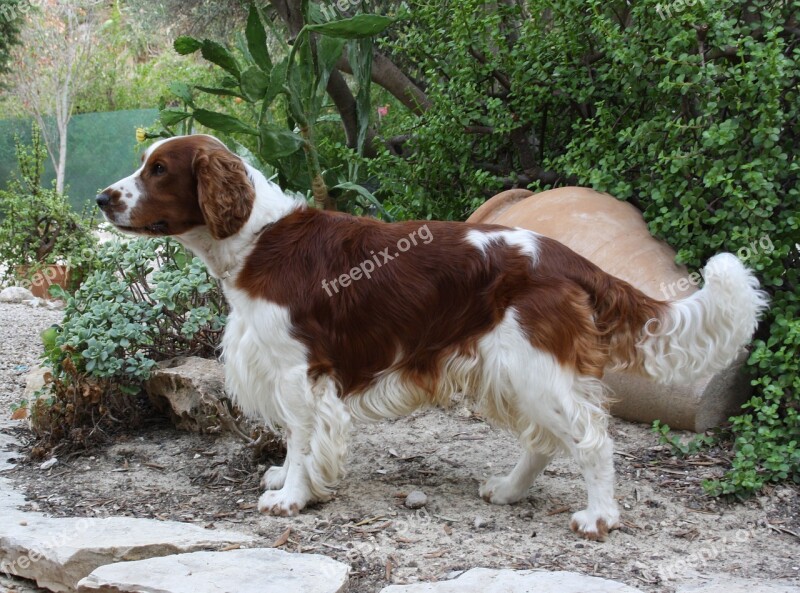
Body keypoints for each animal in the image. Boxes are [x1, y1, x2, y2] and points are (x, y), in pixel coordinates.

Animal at [100, 135, 768, 540]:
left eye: (159, 169)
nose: (104, 197)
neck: (257, 239)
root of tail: (565, 255)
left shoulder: (297, 371)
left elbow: (301, 437)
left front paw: (290, 497)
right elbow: (299, 441)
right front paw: (292, 480)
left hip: (531, 366)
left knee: (591, 439)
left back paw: (599, 517)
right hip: (512, 370)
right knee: (546, 441)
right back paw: (508, 491)